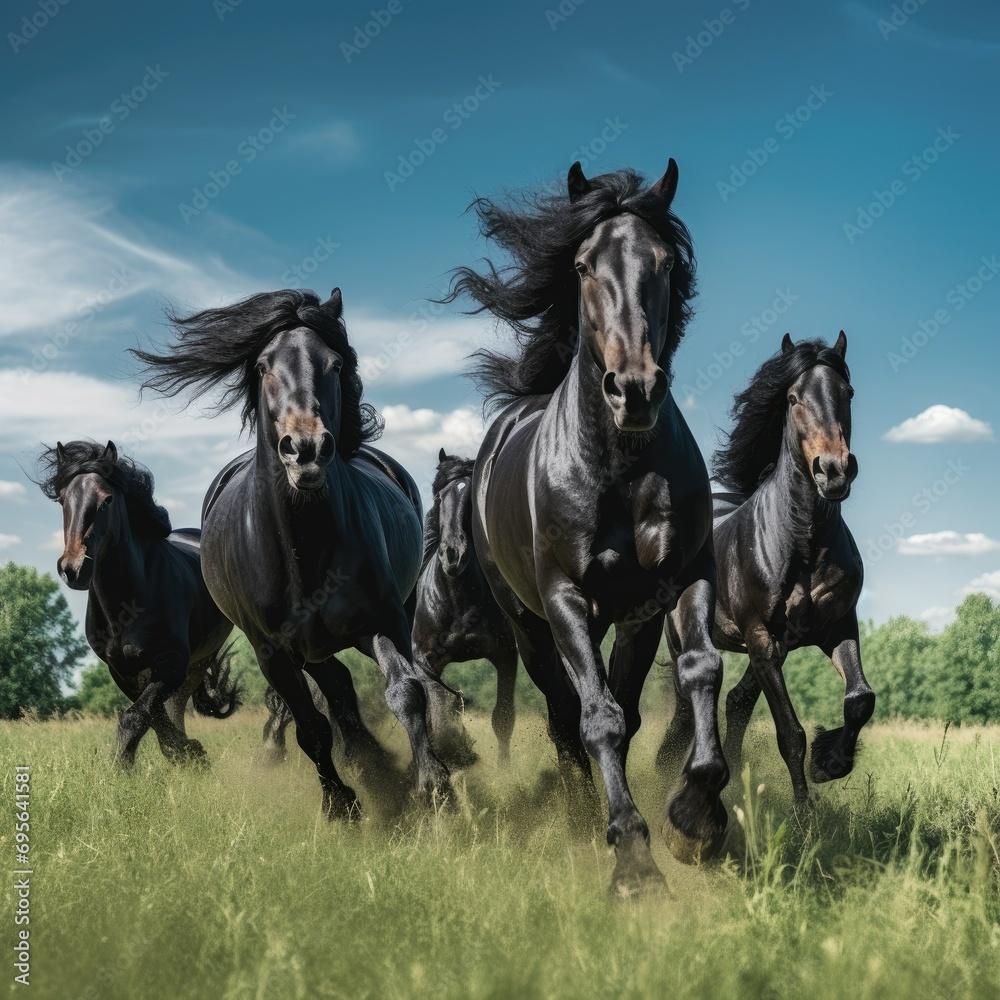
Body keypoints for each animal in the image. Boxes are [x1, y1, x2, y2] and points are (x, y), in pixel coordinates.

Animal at [35, 440, 240, 764]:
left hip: (197, 664)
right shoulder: (122, 671)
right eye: (63, 500)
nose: (74, 568)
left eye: (107, 500)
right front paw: (187, 753)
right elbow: (153, 717)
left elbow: (137, 716)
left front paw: (123, 768)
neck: (126, 606)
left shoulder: (172, 663)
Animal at [132, 286, 450, 816]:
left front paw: (432, 783)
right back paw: (368, 765)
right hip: (306, 651)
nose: (305, 449)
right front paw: (342, 804)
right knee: (335, 688)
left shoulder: (383, 620)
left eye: (335, 364)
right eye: (263, 365)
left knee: (368, 684)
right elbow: (311, 727)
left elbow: (406, 692)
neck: (303, 549)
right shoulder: (273, 651)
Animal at [412, 450, 520, 760]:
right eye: (439, 496)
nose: (453, 555)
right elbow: (439, 715)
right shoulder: (425, 662)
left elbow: (503, 720)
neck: (458, 602)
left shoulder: (506, 657)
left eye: (471, 497)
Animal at [450, 162, 732, 892]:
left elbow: (698, 670)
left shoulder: (675, 584)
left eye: (664, 262)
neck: (617, 470)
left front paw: (695, 818)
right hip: (528, 625)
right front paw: (632, 860)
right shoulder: (565, 599)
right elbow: (597, 718)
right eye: (581, 264)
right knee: (562, 715)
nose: (634, 390)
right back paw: (581, 816)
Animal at [668, 336, 872, 804]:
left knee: (736, 703)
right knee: (688, 715)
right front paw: (804, 813)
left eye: (848, 393)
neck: (802, 543)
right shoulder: (762, 639)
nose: (834, 471)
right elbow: (790, 735)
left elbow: (859, 700)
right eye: (793, 398)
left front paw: (830, 763)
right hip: (695, 643)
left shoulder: (837, 627)